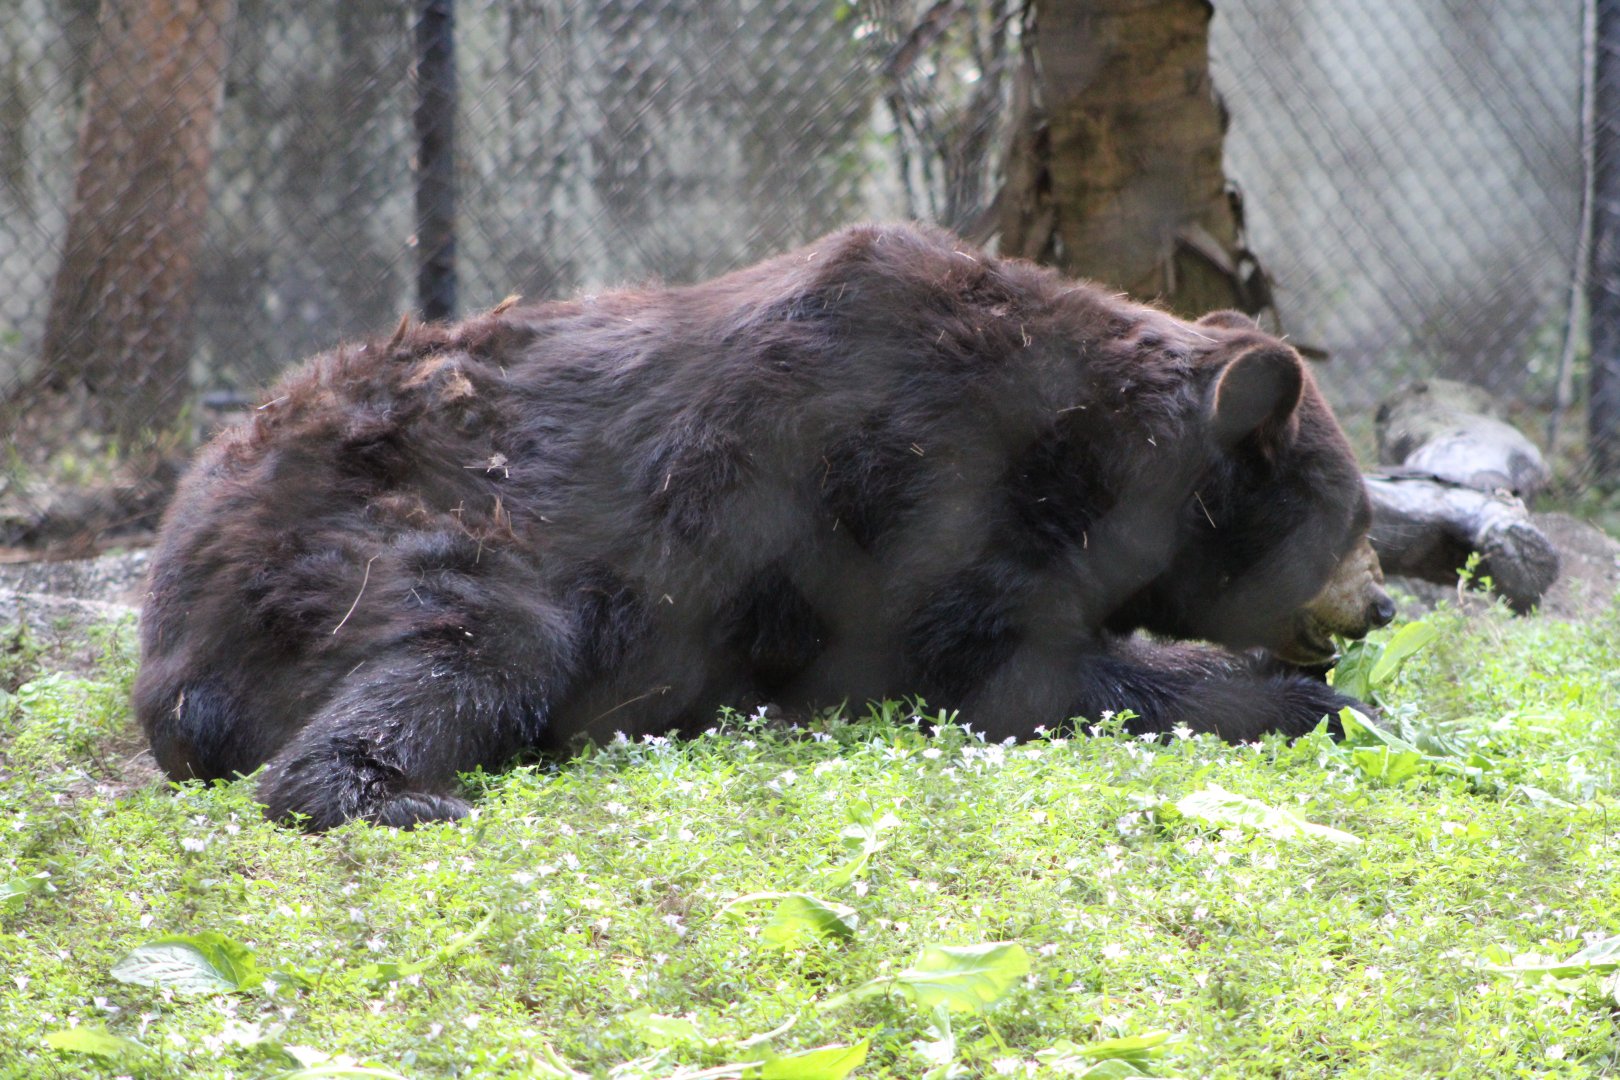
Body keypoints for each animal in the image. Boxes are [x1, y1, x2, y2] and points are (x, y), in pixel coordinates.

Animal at [134, 222, 1394, 830]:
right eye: (1352, 513)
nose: (1380, 602)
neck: (1079, 455)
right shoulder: (902, 474)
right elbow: (1005, 663)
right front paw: (1317, 703)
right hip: (364, 537)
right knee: (477, 645)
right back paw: (398, 791)